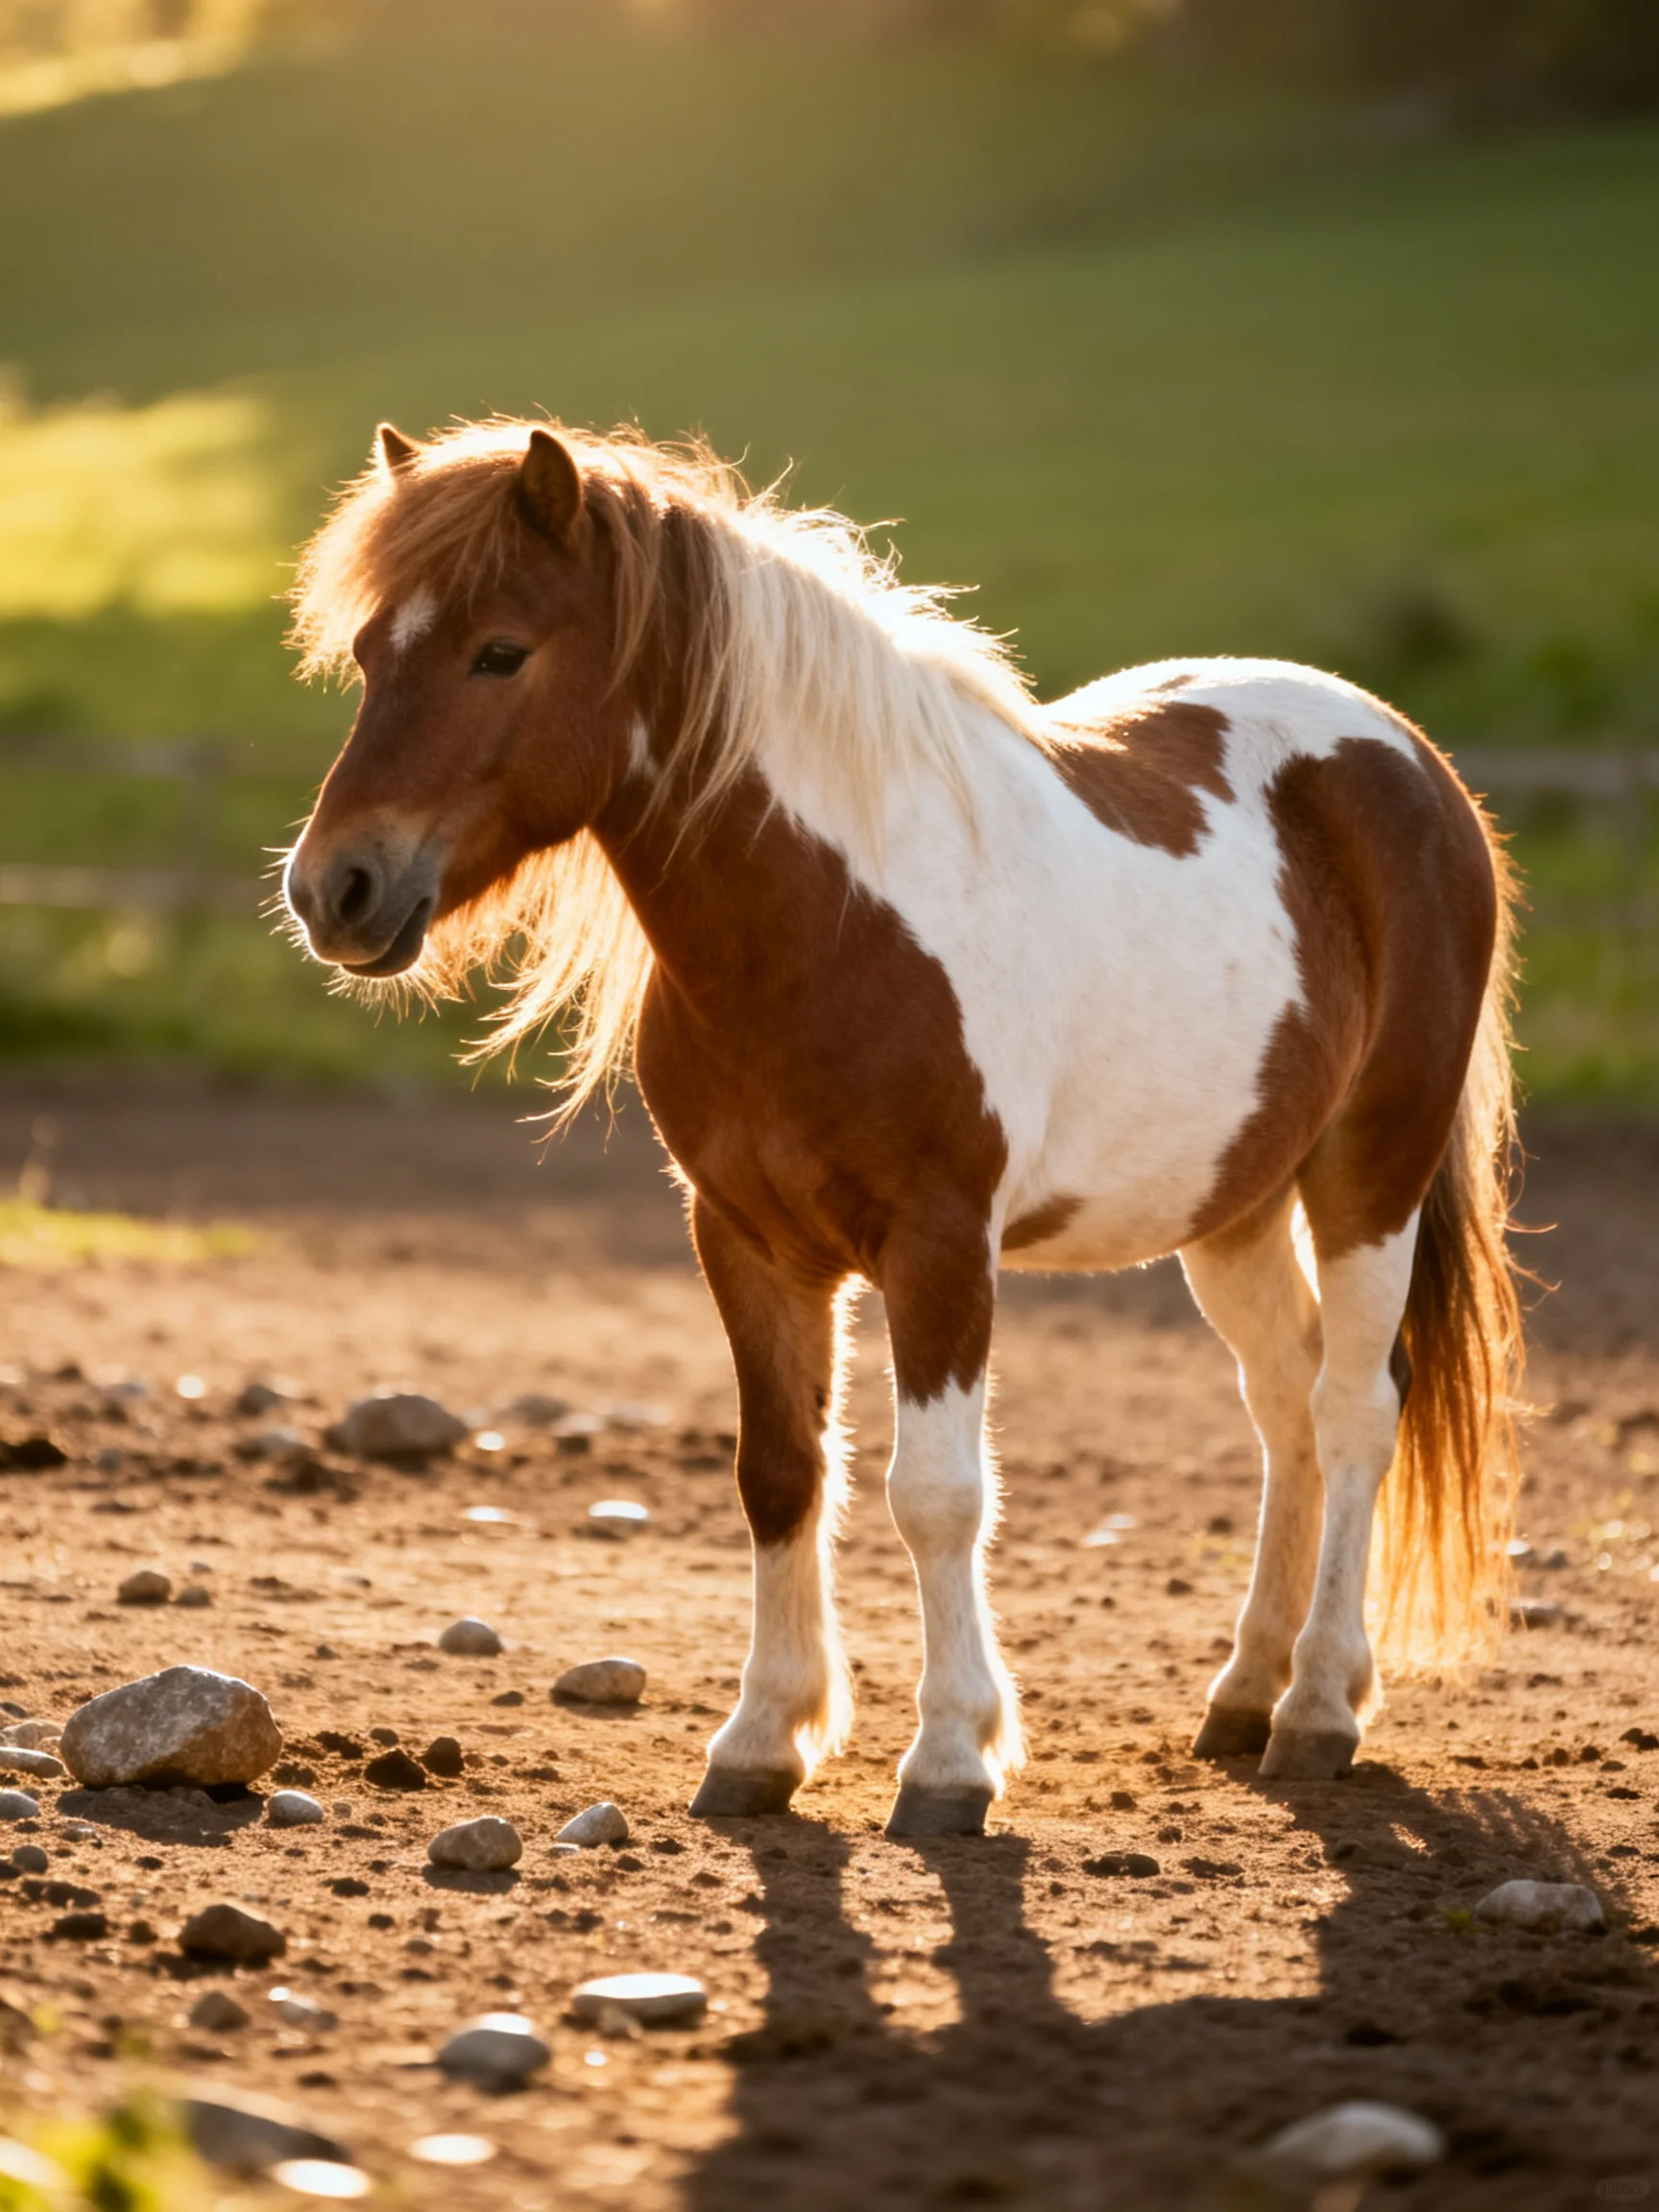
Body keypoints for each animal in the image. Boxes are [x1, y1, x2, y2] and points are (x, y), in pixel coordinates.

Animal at [283, 417, 1524, 1838]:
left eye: (500, 651)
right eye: (370, 656)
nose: (333, 889)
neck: (826, 926)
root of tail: (1406, 757)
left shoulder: (941, 1246)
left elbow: (936, 1496)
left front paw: (948, 1761)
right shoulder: (748, 1240)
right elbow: (780, 1473)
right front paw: (762, 1743)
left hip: (1373, 1169)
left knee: (1357, 1406)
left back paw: (1317, 1709)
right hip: (1235, 1200)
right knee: (1286, 1406)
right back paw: (1244, 1696)